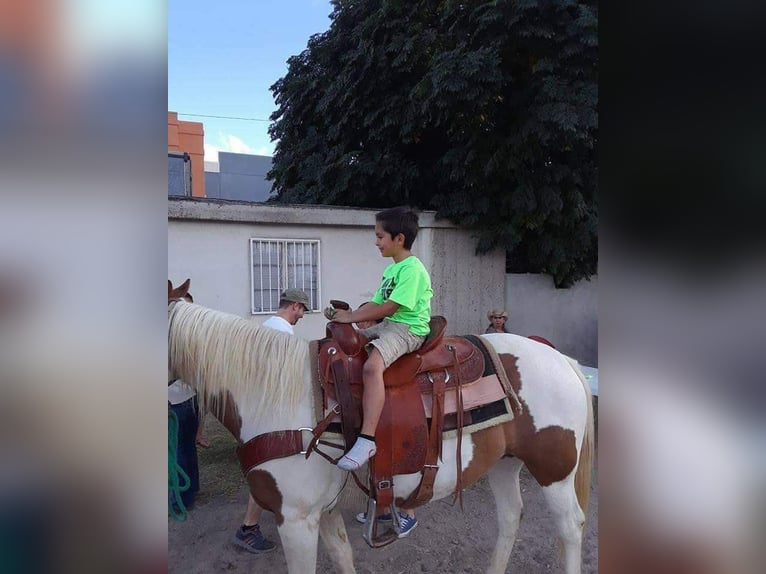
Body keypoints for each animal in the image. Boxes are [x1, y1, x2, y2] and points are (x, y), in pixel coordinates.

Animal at [168, 280, 594, 574]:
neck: (273, 394)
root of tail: (561, 358)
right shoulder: (323, 513)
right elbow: (344, 557)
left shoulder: (295, 519)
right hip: (505, 462)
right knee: (510, 518)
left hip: (554, 470)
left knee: (571, 527)